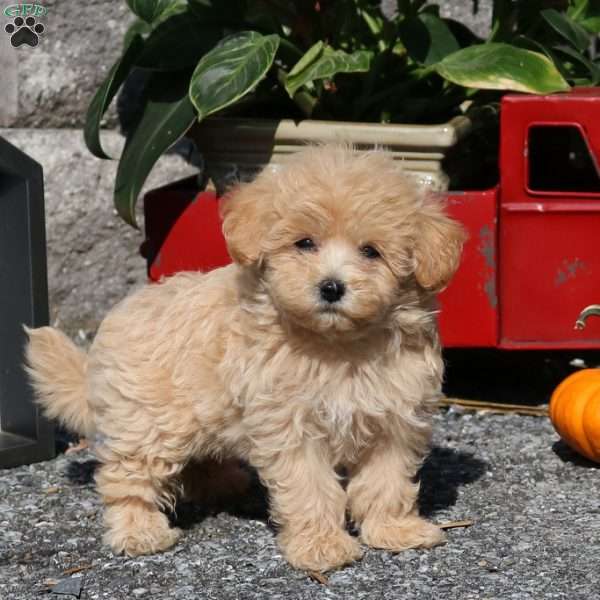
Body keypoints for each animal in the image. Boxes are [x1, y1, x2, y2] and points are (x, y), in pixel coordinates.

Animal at [25, 144, 466, 572]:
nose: (331, 287)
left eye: (371, 252)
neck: (337, 345)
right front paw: (320, 545)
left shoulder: (395, 419)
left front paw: (395, 530)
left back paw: (222, 484)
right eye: (304, 243)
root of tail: (119, 315)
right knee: (126, 477)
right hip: (147, 421)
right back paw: (139, 530)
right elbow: (310, 487)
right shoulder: (292, 427)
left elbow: (386, 481)